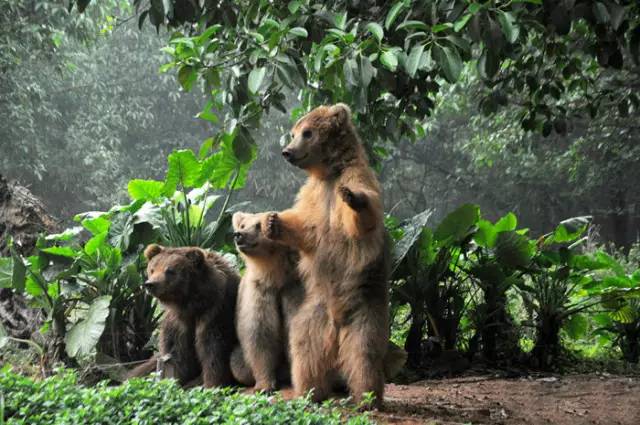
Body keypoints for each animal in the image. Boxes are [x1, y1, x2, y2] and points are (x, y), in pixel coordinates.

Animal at [127, 243, 240, 386]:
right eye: (152, 269)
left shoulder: (215, 312)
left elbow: (213, 349)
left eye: (169, 271)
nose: (150, 284)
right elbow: (177, 354)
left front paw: (212, 383)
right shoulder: (177, 323)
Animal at [229, 212, 304, 390]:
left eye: (258, 225)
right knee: (236, 362)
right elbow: (259, 334)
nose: (238, 235)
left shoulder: (292, 288)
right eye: (243, 225)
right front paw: (265, 384)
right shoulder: (258, 292)